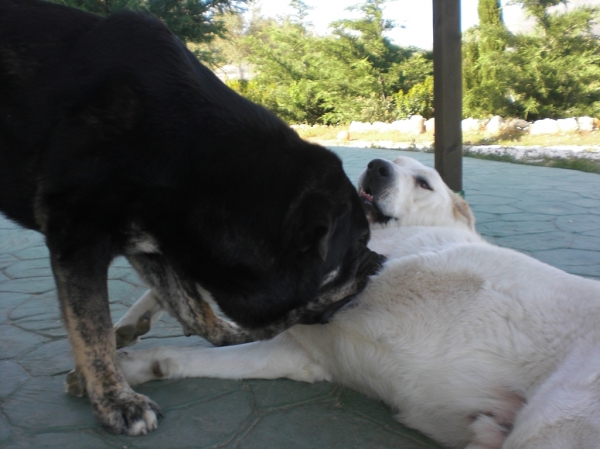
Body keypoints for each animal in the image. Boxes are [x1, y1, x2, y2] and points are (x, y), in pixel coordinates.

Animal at [0, 0, 384, 434]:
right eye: (358, 243)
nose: (379, 260)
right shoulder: (77, 233)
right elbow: (92, 327)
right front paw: (116, 399)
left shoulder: (157, 244)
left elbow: (193, 308)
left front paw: (227, 334)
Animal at [112, 156, 600, 446]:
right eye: (391, 160)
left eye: (423, 182)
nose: (377, 165)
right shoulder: (296, 352)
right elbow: (179, 346)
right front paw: (130, 348)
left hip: (553, 423)